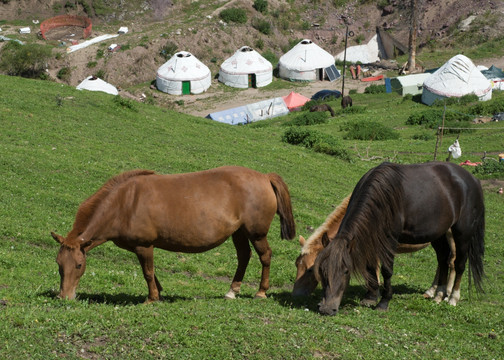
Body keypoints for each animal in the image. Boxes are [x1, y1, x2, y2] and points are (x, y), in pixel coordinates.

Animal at [51, 167, 296, 302]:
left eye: (79, 265)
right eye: (59, 264)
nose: (64, 297)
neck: (124, 203)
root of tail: (264, 177)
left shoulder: (144, 246)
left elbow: (148, 272)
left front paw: (151, 298)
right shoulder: (141, 248)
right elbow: (152, 273)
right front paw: (159, 293)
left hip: (256, 233)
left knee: (265, 256)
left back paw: (261, 292)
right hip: (239, 233)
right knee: (244, 257)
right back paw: (232, 291)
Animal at [316, 162, 484, 316]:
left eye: (346, 271)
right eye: (322, 270)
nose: (327, 309)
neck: (383, 198)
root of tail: (473, 180)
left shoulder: (390, 240)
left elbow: (387, 270)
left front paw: (383, 302)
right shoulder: (372, 237)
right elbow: (370, 266)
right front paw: (370, 297)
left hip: (462, 234)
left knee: (459, 264)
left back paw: (452, 298)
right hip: (439, 235)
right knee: (443, 261)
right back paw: (437, 294)